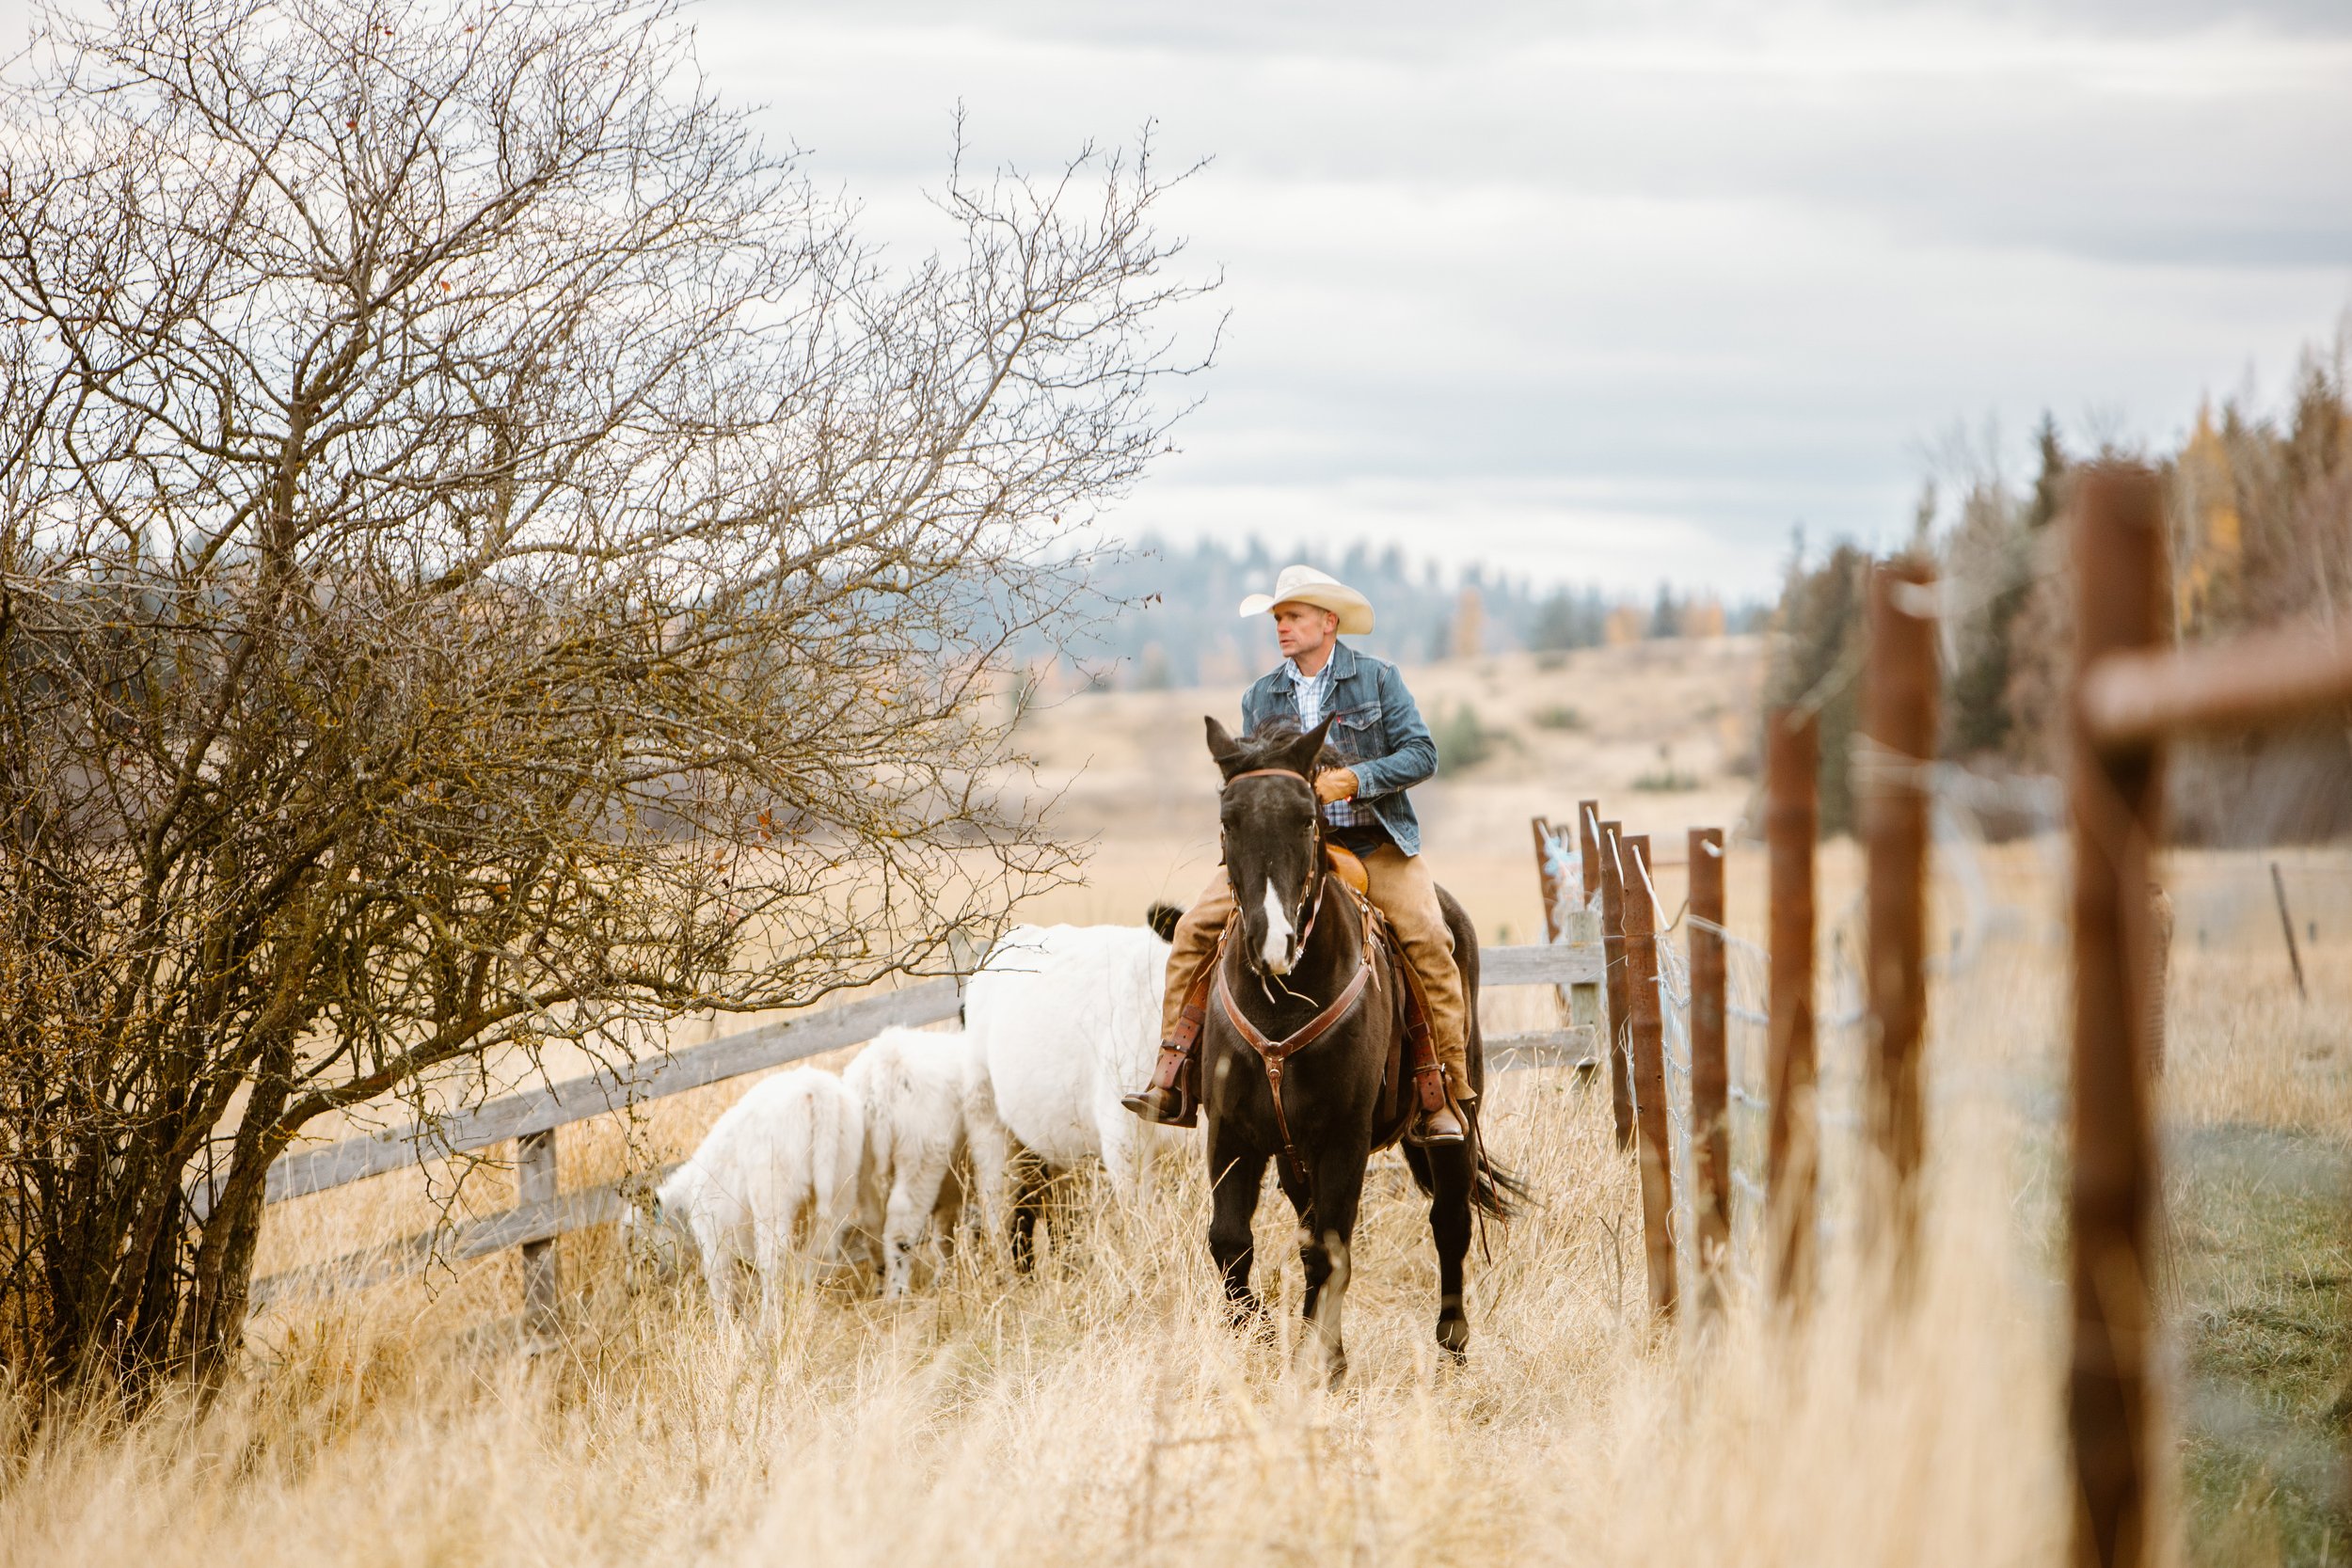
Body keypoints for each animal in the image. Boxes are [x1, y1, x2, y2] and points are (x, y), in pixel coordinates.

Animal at [644, 1067, 866, 1316]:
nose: (637, 1291)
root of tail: (816, 1090)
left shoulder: (713, 1241)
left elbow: (720, 1290)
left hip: (772, 1195)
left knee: (774, 1261)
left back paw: (769, 1320)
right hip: (841, 1180)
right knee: (818, 1254)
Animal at [842, 1024, 969, 1297]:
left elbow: (944, 1237)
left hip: (863, 1169)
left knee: (872, 1226)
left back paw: (882, 1288)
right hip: (919, 1157)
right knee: (900, 1228)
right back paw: (897, 1295)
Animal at [1195, 719, 1524, 1382]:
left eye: (1306, 818)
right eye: (1229, 820)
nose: (1271, 941)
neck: (1283, 999)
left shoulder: (1342, 1137)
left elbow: (1332, 1248)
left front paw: (1324, 1362)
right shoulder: (1232, 1131)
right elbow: (1231, 1241)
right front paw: (1263, 1341)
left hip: (1455, 1119)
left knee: (1450, 1223)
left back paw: (1452, 1349)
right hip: (1292, 1156)